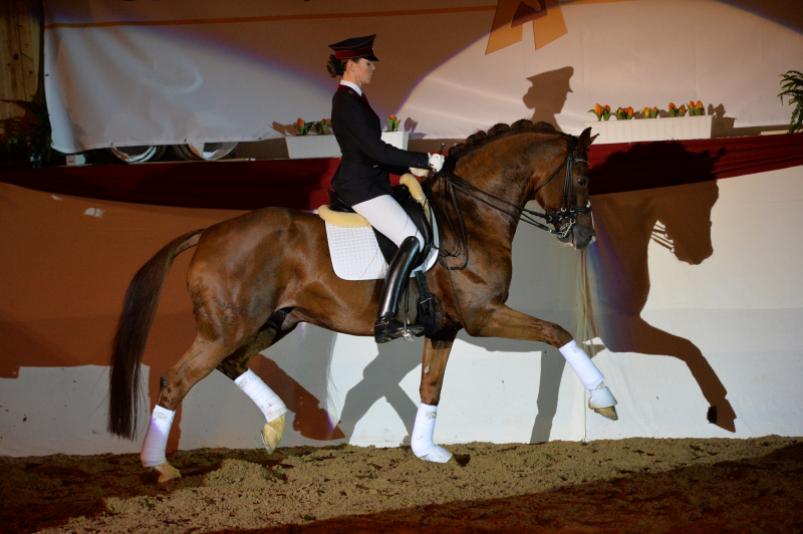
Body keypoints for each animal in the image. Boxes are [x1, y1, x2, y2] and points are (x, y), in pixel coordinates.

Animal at [108, 121, 620, 486]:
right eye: (582, 175)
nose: (585, 237)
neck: (471, 216)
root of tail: (209, 233)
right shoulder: (483, 316)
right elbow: (557, 333)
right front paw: (605, 400)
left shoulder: (444, 328)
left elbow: (430, 388)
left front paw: (428, 451)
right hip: (228, 327)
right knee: (178, 380)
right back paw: (159, 466)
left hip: (275, 321)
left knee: (231, 364)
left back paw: (274, 426)